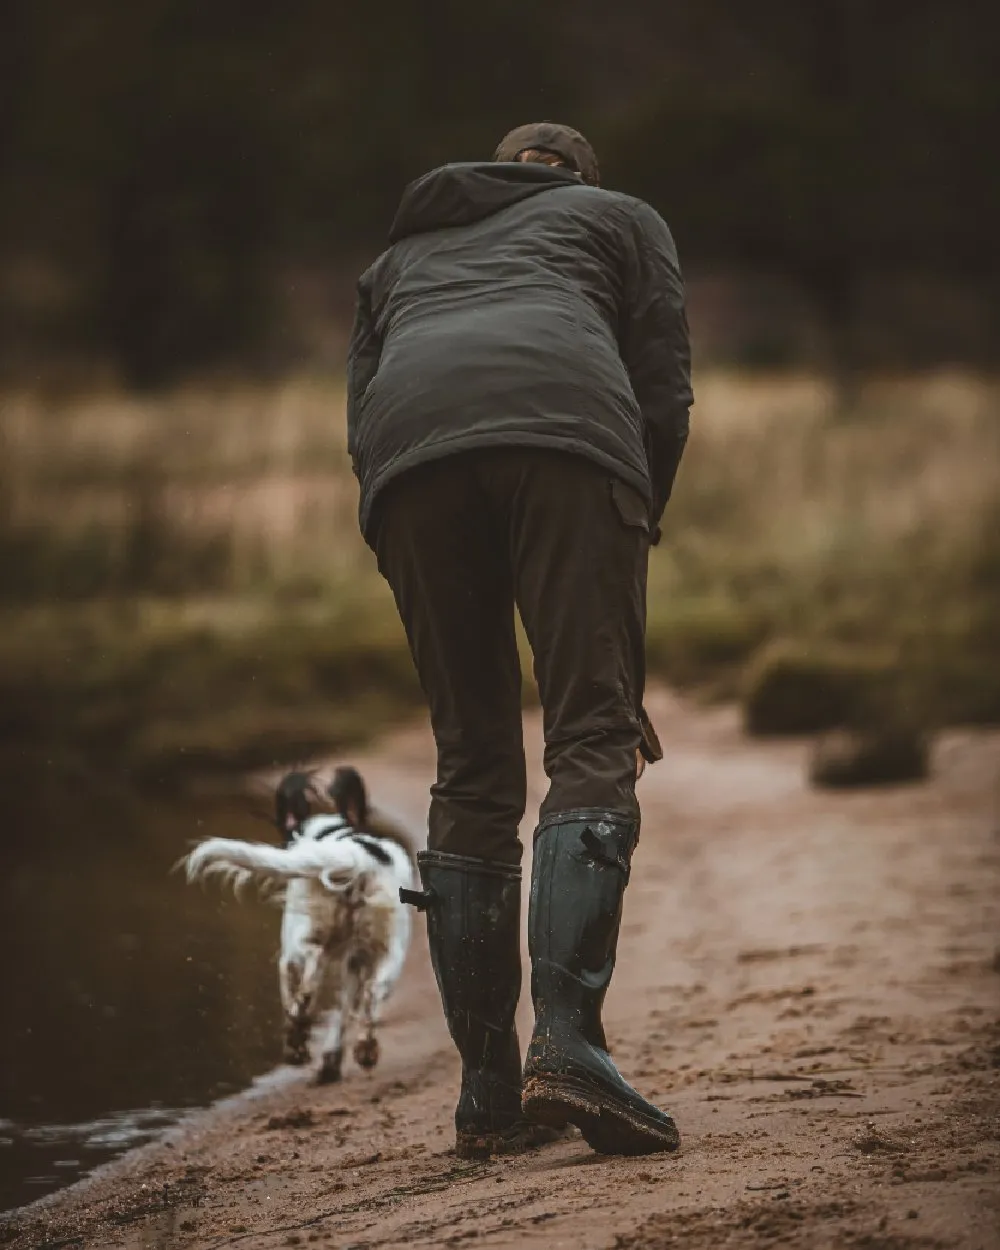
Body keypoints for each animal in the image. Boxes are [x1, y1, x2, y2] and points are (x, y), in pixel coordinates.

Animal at [181, 760, 412, 1085]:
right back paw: (365, 1049)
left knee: (311, 971)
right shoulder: (355, 960)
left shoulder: (291, 954)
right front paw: (331, 1061)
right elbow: (344, 1012)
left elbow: (293, 994)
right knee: (372, 995)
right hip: (388, 950)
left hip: (301, 938)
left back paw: (299, 1034)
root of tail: (352, 855)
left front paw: (299, 1041)